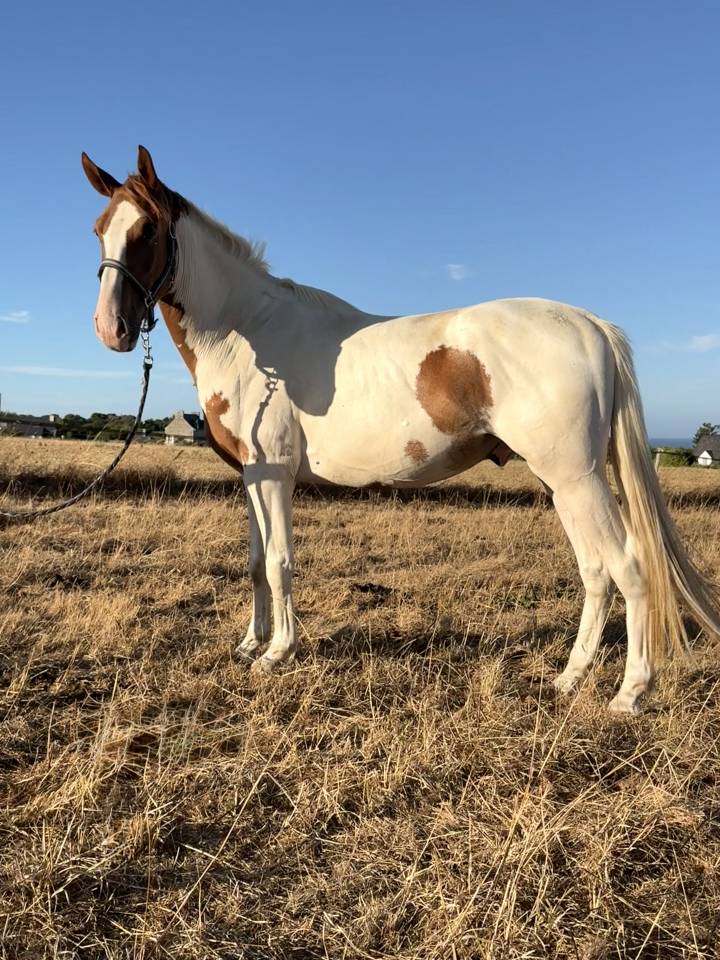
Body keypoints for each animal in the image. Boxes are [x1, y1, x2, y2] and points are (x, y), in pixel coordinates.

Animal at [82, 145, 720, 713]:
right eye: (99, 229)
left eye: (147, 230)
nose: (111, 329)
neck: (249, 331)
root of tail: (590, 324)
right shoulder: (251, 476)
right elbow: (256, 562)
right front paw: (248, 644)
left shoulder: (276, 474)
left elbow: (280, 560)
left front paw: (277, 653)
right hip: (562, 482)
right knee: (596, 573)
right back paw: (569, 680)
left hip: (577, 478)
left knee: (628, 567)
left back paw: (629, 693)